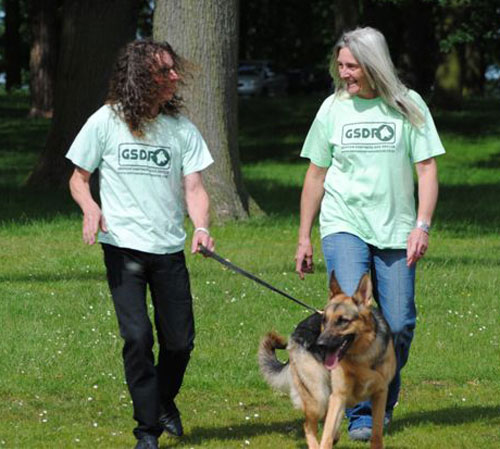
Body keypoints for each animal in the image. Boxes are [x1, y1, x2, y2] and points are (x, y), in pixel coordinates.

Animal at [258, 272, 394, 446]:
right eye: (324, 320)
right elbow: (326, 436)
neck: (361, 355)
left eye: (343, 321)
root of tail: (295, 333)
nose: (319, 344)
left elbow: (376, 434)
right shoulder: (338, 395)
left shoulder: (380, 394)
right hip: (318, 396)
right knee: (309, 425)